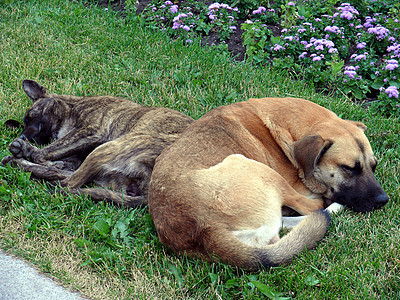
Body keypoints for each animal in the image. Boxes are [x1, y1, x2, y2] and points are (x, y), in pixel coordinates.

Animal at [148, 98, 388, 270]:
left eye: (374, 166)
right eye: (349, 168)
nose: (383, 200)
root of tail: (203, 229)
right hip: (252, 166)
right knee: (314, 208)